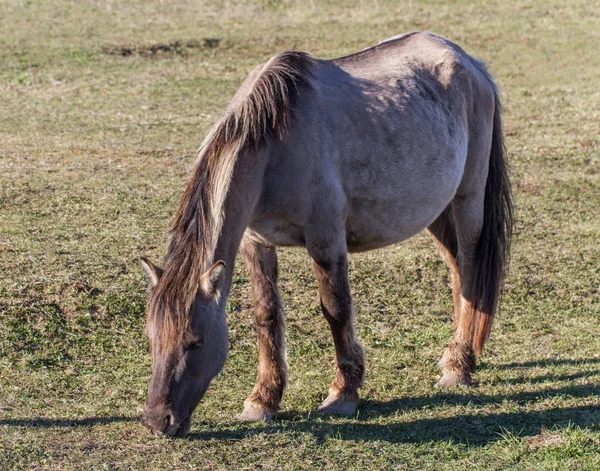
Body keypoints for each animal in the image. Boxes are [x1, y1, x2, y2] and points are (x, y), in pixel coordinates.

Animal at [138, 32, 512, 438]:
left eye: (195, 341)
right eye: (151, 338)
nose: (157, 421)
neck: (275, 146)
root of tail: (470, 63)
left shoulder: (326, 238)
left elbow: (336, 310)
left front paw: (342, 394)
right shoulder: (256, 242)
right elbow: (265, 314)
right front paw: (262, 400)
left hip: (467, 199)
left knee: (472, 270)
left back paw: (460, 367)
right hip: (437, 211)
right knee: (458, 273)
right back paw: (454, 355)